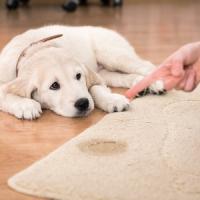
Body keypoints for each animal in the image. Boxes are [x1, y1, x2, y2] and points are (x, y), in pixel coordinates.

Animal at [0, 24, 164, 119]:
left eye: (78, 76)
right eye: (54, 85)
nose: (83, 103)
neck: (35, 49)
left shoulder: (93, 76)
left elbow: (96, 89)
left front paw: (112, 100)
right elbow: (5, 94)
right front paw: (26, 105)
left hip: (113, 54)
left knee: (146, 65)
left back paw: (156, 83)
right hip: (105, 71)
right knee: (121, 77)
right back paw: (140, 84)